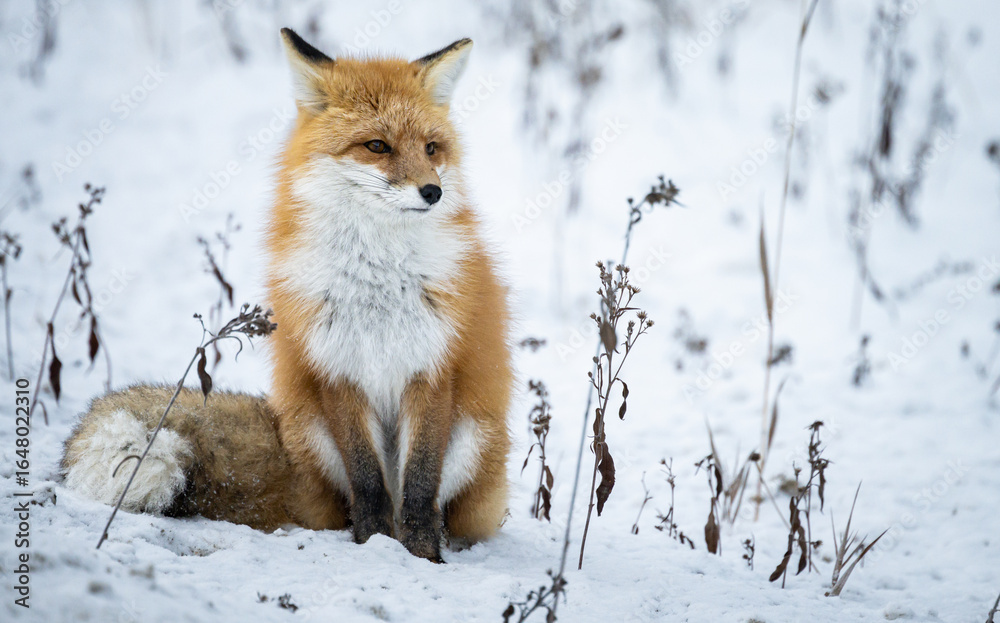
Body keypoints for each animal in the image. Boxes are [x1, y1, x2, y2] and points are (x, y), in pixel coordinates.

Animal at [61, 29, 513, 562]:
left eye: (431, 148)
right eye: (377, 146)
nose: (433, 192)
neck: (378, 278)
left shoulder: (432, 365)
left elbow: (421, 485)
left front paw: (422, 557)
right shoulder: (336, 368)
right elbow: (368, 482)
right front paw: (376, 546)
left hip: (475, 438)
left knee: (437, 504)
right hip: (312, 431)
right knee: (349, 504)